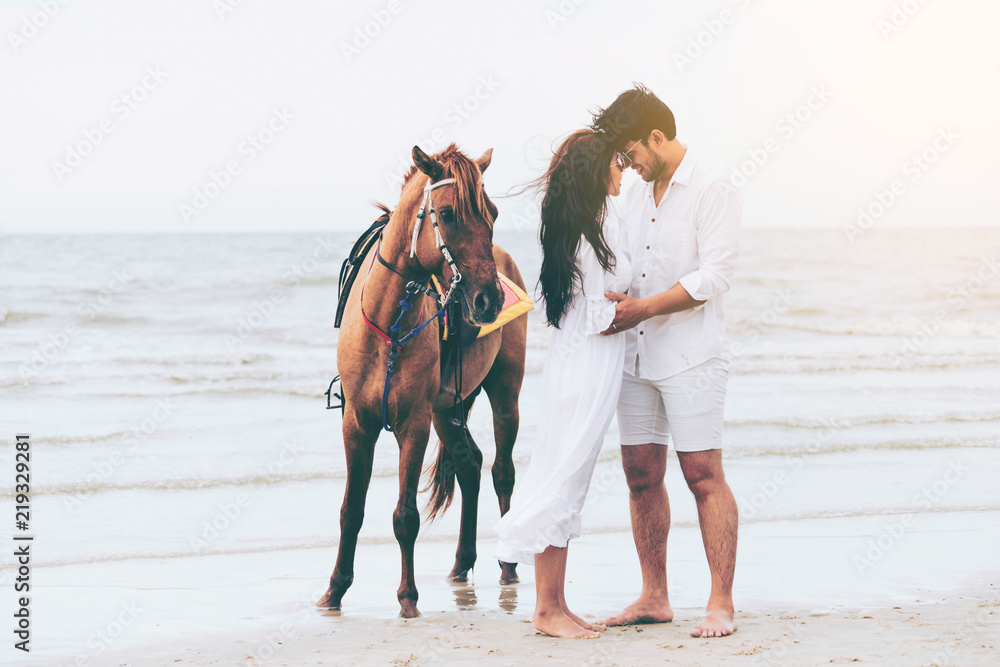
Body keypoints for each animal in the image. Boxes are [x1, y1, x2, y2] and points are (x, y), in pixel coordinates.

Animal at [320, 144, 528, 620]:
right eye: (447, 214)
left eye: (491, 212)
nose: (489, 300)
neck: (388, 323)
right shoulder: (355, 423)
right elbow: (350, 510)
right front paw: (334, 591)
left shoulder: (411, 423)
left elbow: (405, 516)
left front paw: (408, 598)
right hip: (447, 410)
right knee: (470, 467)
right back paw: (461, 564)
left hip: (503, 392)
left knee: (501, 472)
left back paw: (508, 566)